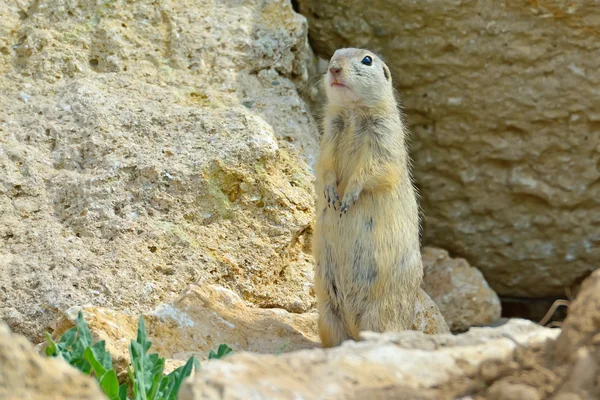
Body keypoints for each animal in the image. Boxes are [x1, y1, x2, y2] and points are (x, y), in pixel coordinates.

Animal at [314, 47, 422, 346]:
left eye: (367, 60)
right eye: (334, 54)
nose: (334, 69)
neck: (353, 112)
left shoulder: (384, 139)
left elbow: (373, 169)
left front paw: (347, 198)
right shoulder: (328, 137)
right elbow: (324, 166)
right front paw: (331, 195)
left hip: (380, 314)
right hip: (327, 314)